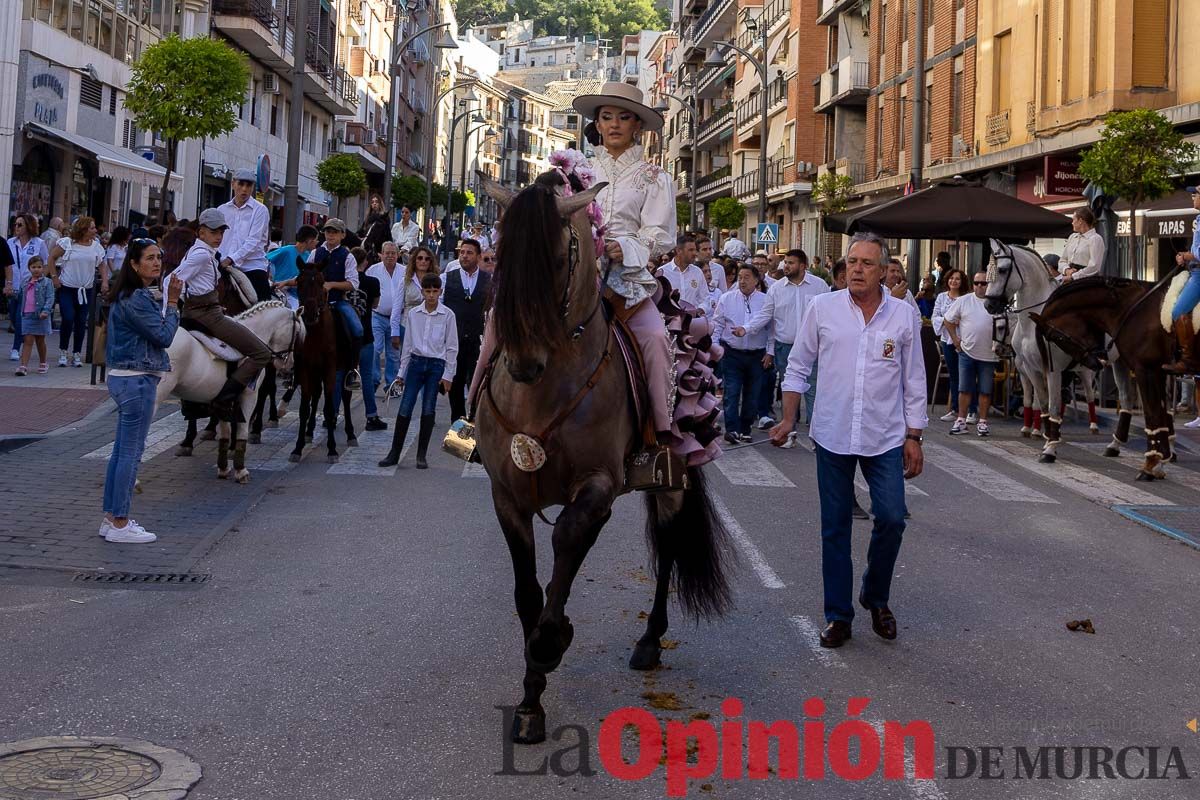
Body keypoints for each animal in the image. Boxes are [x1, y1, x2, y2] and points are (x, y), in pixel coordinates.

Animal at [158, 302, 304, 482]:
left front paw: (223, 467)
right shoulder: (249, 395)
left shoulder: (223, 401)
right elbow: (242, 429)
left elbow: (225, 432)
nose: (289, 366)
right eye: (296, 334)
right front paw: (240, 470)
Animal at [475, 173, 729, 743]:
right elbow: (527, 591)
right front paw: (531, 700)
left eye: (558, 258)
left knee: (670, 548)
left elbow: (567, 541)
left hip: (670, 478)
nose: (524, 363)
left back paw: (649, 641)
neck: (543, 390)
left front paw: (552, 640)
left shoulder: (597, 485)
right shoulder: (506, 495)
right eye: (501, 253)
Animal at [984, 241, 1123, 460]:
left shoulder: (1051, 368)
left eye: (1003, 270)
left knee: (1093, 396)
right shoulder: (1030, 369)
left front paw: (1048, 445)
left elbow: (1051, 404)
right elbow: (1039, 403)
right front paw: (1045, 436)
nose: (988, 304)